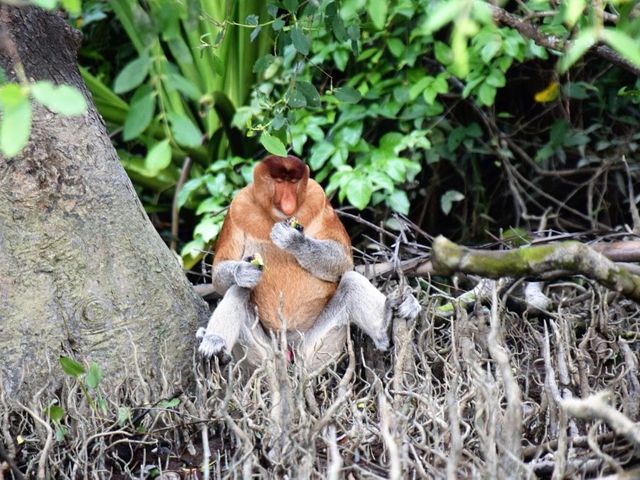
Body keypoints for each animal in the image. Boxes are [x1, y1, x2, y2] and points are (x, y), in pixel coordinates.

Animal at [196, 155, 420, 372]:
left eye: (293, 182)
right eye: (279, 181)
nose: (288, 202)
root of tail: (288, 349)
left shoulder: (318, 197)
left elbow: (342, 258)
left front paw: (293, 240)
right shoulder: (237, 207)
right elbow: (219, 274)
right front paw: (243, 271)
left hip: (318, 348)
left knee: (350, 282)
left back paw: (386, 326)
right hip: (264, 356)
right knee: (239, 290)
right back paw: (214, 346)